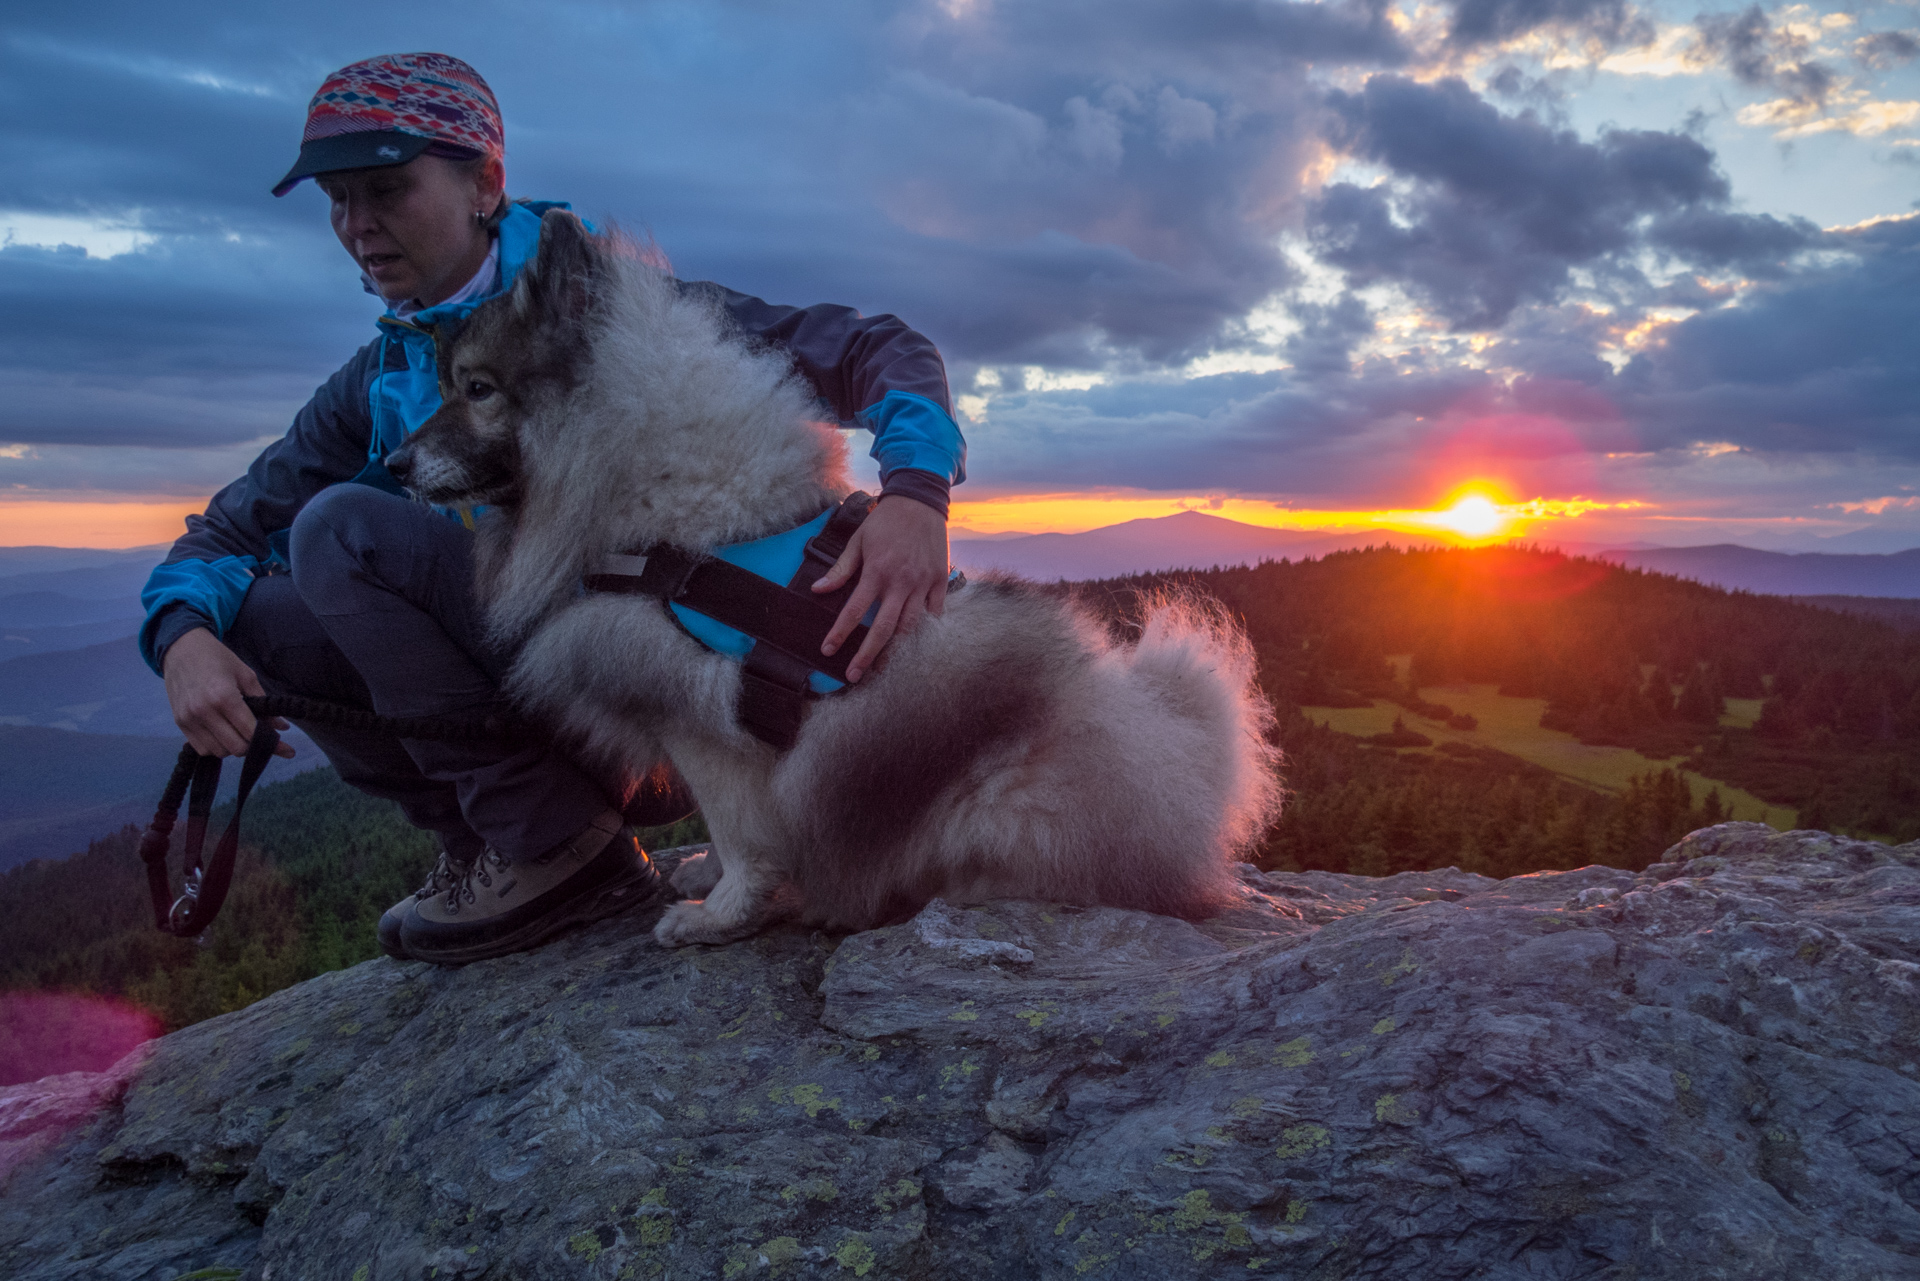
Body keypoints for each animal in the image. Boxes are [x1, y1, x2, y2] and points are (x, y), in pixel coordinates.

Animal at [397, 210, 1282, 948]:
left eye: (477, 389)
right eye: (449, 385)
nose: (395, 461)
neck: (665, 506)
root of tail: (1182, 768)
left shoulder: (696, 711)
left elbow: (742, 832)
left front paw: (721, 914)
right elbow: (724, 830)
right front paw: (705, 877)